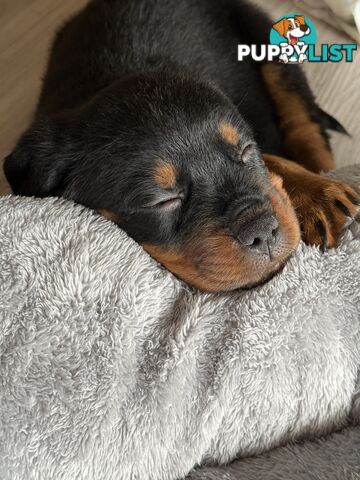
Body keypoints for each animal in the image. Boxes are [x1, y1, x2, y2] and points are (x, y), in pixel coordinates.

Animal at [3, 0, 360, 290]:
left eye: (246, 150)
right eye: (163, 200)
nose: (262, 230)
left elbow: (274, 157)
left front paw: (315, 195)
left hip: (261, 34)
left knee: (301, 117)